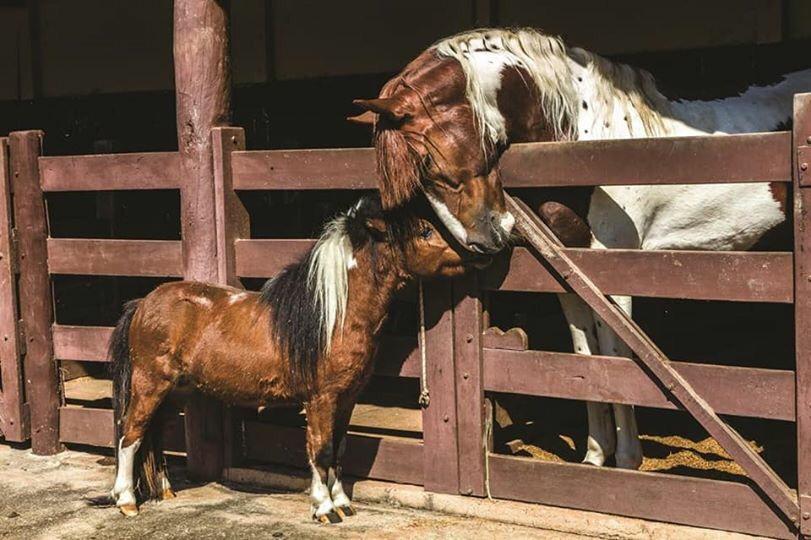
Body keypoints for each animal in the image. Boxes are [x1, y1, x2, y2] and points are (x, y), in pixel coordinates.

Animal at [111, 196, 472, 520]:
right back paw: (126, 501)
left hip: (176, 391)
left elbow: (338, 449)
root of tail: (142, 304)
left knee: (153, 433)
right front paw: (324, 508)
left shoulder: (347, 398)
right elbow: (321, 451)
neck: (330, 317)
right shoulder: (321, 399)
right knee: (130, 433)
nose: (472, 254)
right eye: (425, 230)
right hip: (149, 384)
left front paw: (343, 503)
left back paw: (164, 491)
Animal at [354, 27, 811, 470]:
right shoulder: (570, 276)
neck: (586, 139)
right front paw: (594, 457)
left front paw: (626, 461)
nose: (487, 239)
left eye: (429, 164)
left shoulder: (616, 272)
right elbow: (583, 355)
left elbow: (616, 355)